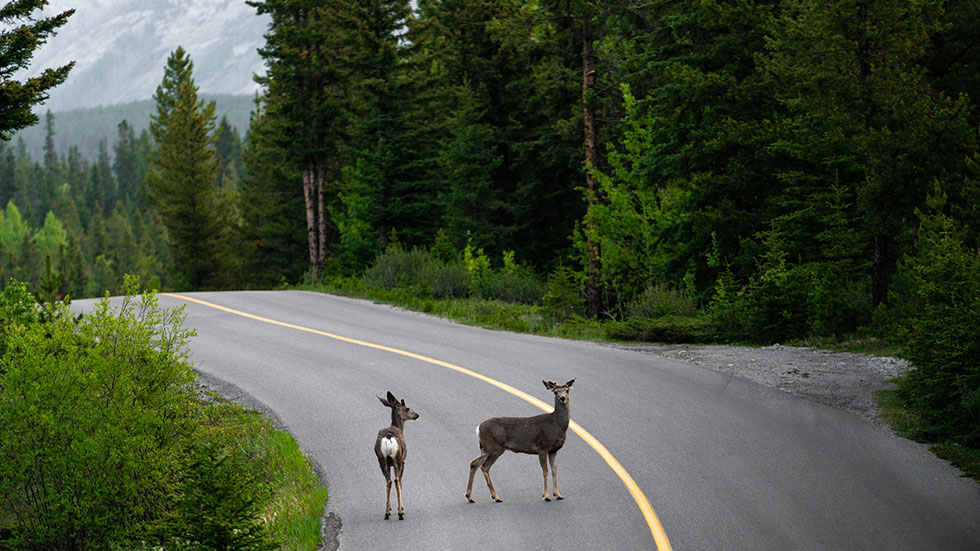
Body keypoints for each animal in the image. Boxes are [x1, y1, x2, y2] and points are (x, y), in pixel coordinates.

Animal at [374, 390, 420, 520]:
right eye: (407, 408)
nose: (417, 415)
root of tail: (389, 438)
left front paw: (391, 509)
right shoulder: (404, 460)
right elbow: (401, 482)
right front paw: (401, 509)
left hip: (382, 460)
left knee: (388, 481)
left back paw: (387, 512)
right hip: (397, 459)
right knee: (397, 480)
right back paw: (400, 512)